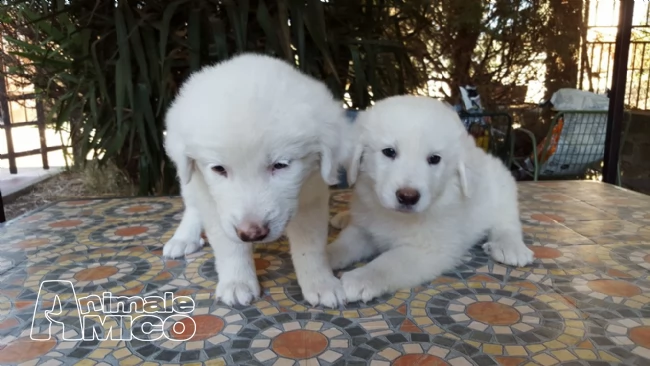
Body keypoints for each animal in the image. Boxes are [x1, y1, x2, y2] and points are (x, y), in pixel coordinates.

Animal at [165, 53, 352, 308]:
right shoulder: (215, 203)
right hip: (189, 176)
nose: (252, 234)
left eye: (280, 165)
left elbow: (310, 245)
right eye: (219, 169)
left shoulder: (311, 192)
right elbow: (228, 244)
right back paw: (183, 238)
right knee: (192, 206)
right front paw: (237, 283)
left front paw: (321, 283)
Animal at [326, 95, 536, 304]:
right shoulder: (364, 229)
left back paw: (510, 247)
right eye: (389, 152)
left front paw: (361, 278)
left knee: (507, 224)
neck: (397, 217)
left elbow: (389, 262)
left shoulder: (429, 250)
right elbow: (344, 245)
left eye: (434, 159)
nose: (408, 197)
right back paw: (344, 217)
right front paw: (325, 260)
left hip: (503, 193)